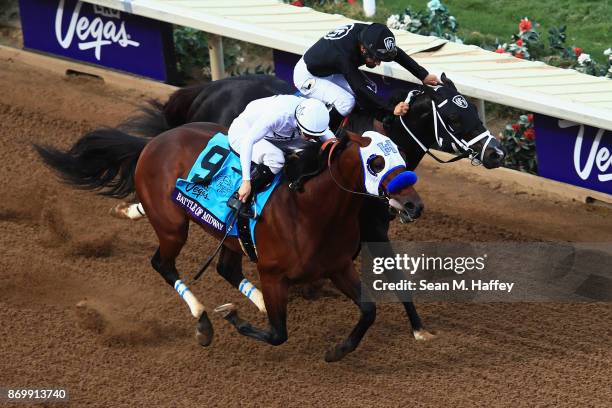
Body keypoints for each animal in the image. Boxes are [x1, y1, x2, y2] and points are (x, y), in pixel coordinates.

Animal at [35, 122, 424, 362]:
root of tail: (153, 142)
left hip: (231, 238)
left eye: (402, 155)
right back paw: (204, 321)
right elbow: (277, 334)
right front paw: (231, 315)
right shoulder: (273, 273)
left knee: (225, 268)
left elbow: (369, 310)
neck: (310, 209)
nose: (413, 205)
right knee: (163, 264)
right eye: (375, 162)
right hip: (172, 226)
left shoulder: (338, 266)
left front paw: (337, 351)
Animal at [111, 74, 506, 342]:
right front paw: (419, 328)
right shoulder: (372, 226)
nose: (496, 153)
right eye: (454, 119)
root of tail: (204, 90)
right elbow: (393, 274)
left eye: (476, 114)